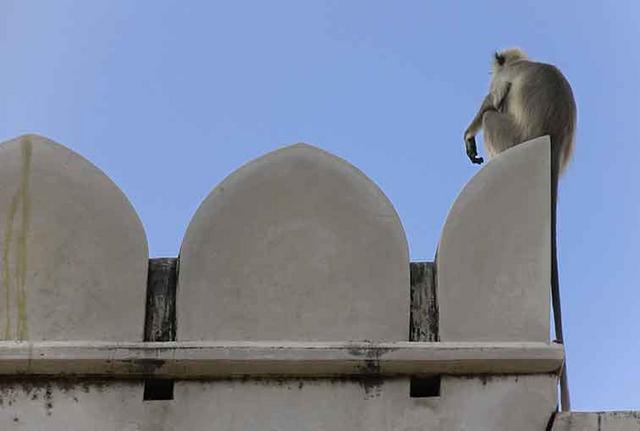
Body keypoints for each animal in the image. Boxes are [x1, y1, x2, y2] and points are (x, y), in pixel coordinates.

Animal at [462, 49, 576, 414]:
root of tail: (551, 144)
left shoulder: (505, 78)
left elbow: (491, 101)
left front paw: (468, 135)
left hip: (510, 137)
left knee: (492, 115)